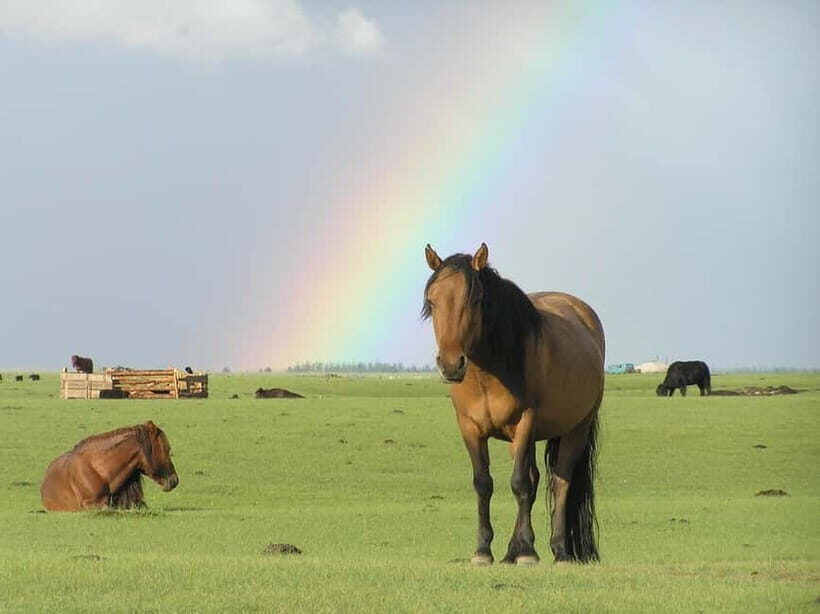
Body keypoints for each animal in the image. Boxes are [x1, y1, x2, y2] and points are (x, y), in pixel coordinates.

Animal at [423, 243, 605, 565]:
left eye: (476, 299)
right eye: (432, 302)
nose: (451, 365)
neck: (487, 374)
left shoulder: (525, 422)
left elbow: (519, 484)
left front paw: (529, 552)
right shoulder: (470, 429)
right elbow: (484, 484)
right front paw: (483, 550)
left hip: (575, 430)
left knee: (560, 481)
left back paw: (559, 550)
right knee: (535, 481)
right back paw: (512, 551)